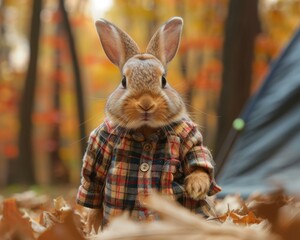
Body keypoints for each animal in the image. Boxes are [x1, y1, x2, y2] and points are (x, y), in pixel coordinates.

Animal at [76, 15, 221, 232]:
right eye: (123, 81)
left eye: (164, 80)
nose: (146, 103)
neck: (145, 129)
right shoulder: (99, 144)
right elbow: (94, 181)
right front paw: (93, 223)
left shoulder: (188, 135)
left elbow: (198, 157)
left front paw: (196, 187)